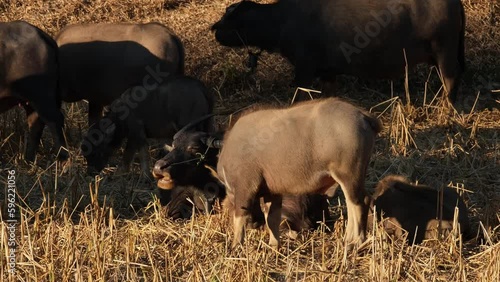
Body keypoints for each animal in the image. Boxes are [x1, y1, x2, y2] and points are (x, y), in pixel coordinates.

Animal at [0, 20, 67, 162]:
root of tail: (41, 35)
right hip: (31, 102)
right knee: (36, 124)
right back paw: (28, 159)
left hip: (41, 97)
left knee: (55, 121)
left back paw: (63, 158)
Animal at [81, 76, 213, 175]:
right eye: (86, 156)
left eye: (95, 153)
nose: (90, 173)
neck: (122, 116)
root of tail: (201, 88)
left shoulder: (136, 134)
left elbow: (130, 155)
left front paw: (120, 173)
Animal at [211, 0, 464, 103]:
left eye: (230, 19)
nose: (214, 28)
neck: (281, 21)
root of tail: (455, 4)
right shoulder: (328, 72)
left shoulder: (304, 70)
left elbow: (299, 95)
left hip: (445, 51)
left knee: (451, 82)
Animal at [217, 98, 380, 248]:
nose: (255, 224)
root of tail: (363, 116)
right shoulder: (273, 193)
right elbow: (272, 219)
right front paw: (274, 245)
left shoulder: (245, 187)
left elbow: (241, 217)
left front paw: (235, 246)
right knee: (353, 203)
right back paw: (349, 240)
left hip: (349, 176)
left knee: (360, 202)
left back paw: (355, 241)